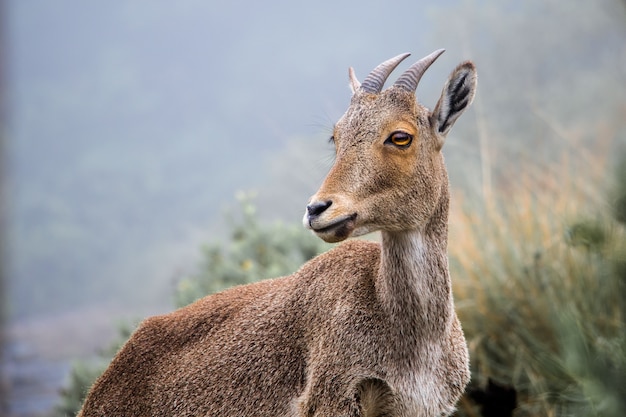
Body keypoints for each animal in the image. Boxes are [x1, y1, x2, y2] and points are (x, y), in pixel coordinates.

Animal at [79, 49, 478, 416]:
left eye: (400, 136)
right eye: (336, 136)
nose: (317, 209)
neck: (415, 340)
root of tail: (101, 387)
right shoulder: (332, 398)